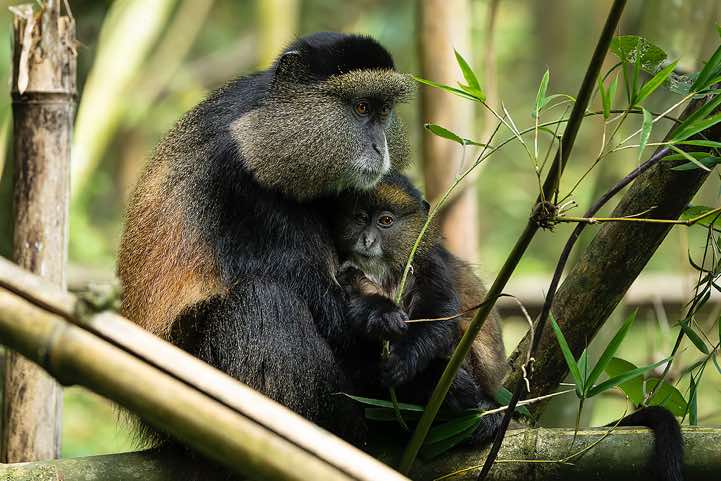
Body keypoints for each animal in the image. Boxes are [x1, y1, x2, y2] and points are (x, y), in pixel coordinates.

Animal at [117, 32, 417, 452]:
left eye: (384, 111)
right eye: (361, 107)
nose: (380, 148)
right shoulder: (238, 180)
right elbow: (322, 303)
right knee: (261, 301)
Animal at [331, 172, 507, 443]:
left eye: (385, 221)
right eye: (360, 218)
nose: (367, 240)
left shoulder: (430, 264)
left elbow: (440, 316)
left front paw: (404, 359)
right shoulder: (347, 272)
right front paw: (383, 316)